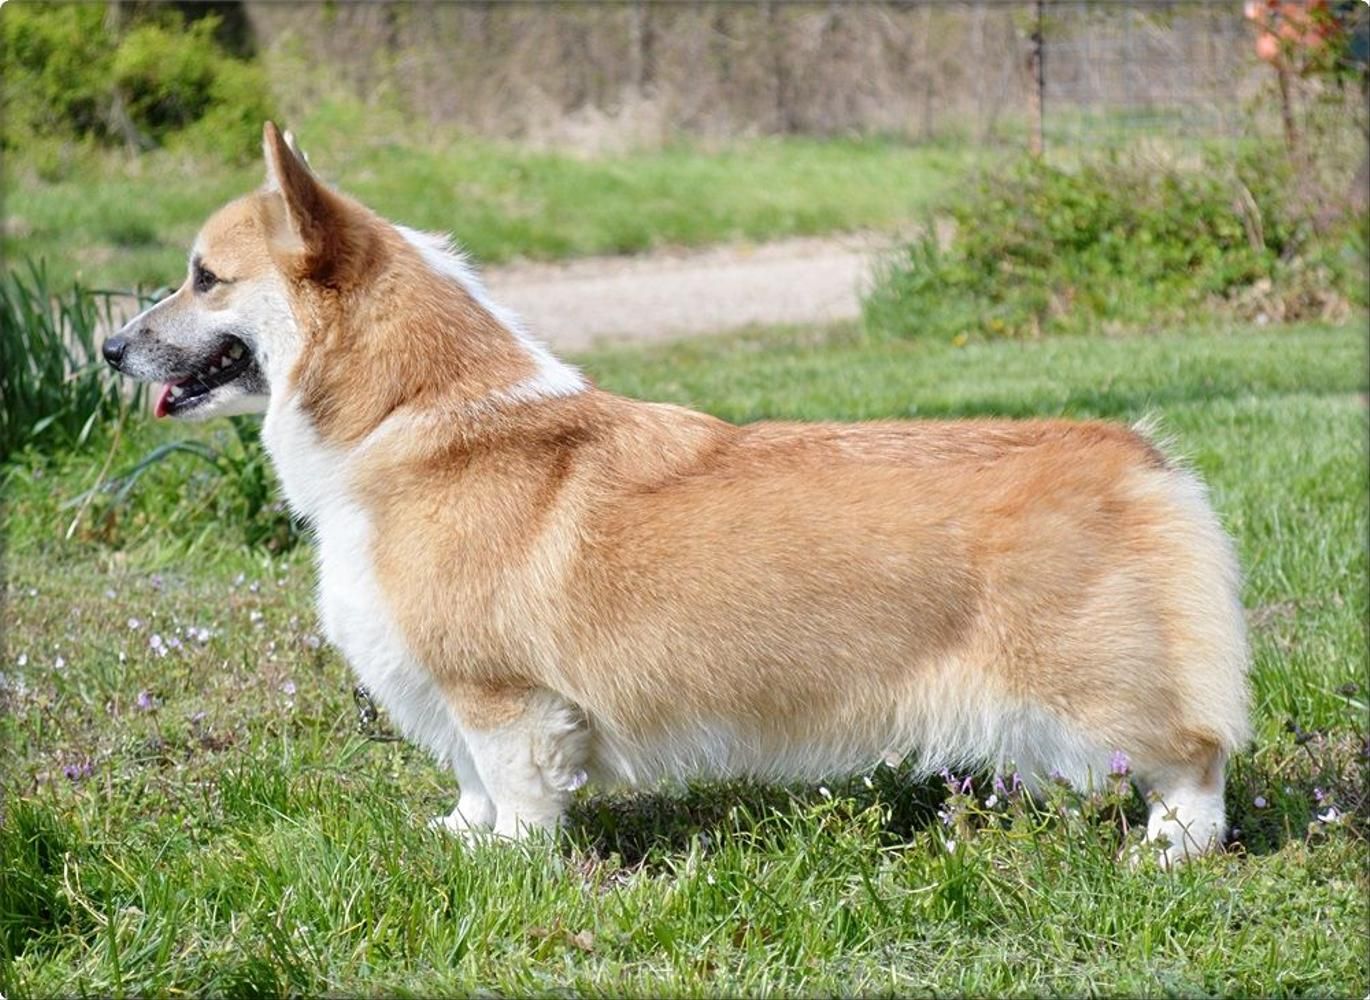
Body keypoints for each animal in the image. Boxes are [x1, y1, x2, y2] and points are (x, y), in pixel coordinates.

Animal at [101, 122, 1249, 854]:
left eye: (203, 276)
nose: (109, 349)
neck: (410, 413)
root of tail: (1134, 454)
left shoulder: (500, 694)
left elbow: (512, 785)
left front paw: (509, 862)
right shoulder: (443, 689)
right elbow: (467, 781)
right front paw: (459, 838)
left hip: (1092, 683)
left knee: (1195, 754)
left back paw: (1169, 847)